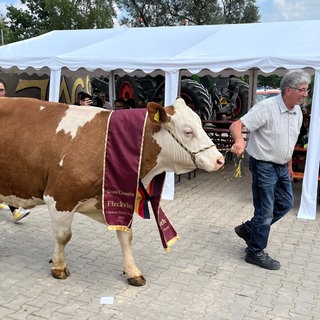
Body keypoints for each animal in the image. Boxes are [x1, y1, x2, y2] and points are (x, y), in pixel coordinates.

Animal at [0, 96, 225, 286]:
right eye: (188, 131)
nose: (219, 159)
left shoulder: (119, 197)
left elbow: (126, 236)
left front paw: (133, 271)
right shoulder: (59, 197)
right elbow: (63, 236)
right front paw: (59, 266)